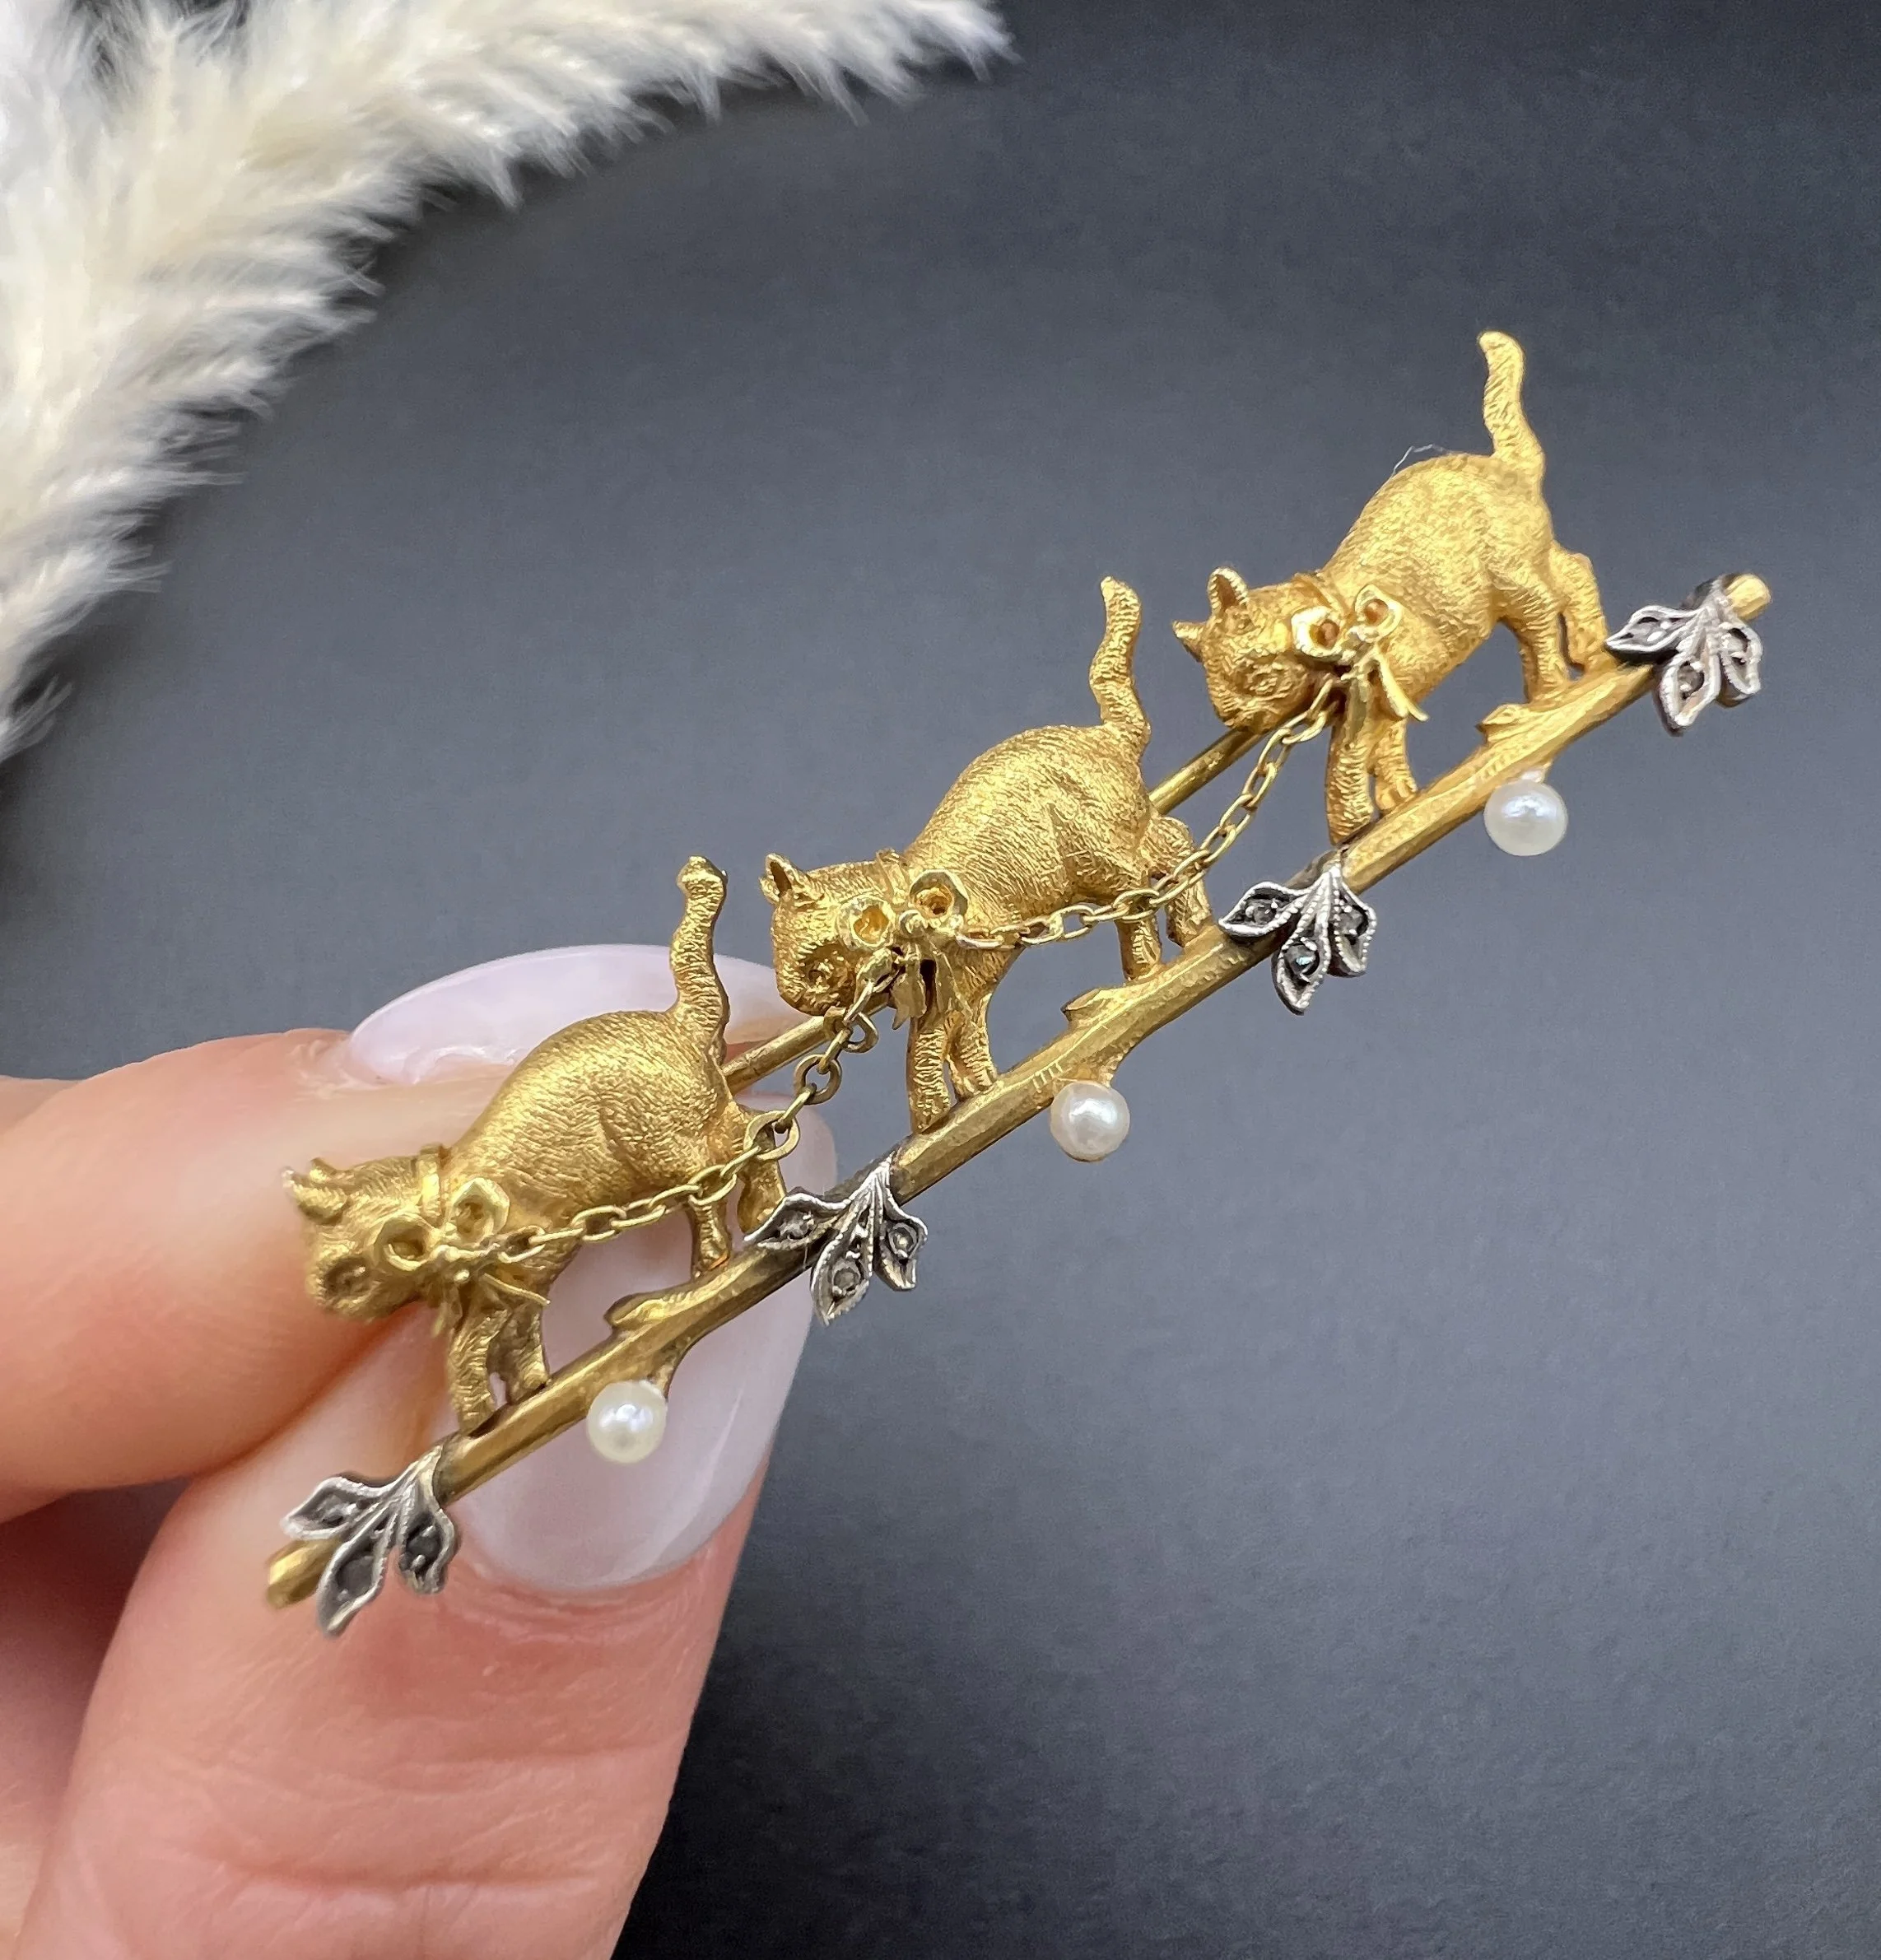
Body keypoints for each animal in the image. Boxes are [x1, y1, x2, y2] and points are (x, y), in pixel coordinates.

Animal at [288, 857, 786, 1430]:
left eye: (344, 1279)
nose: (323, 1302)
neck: (442, 1202)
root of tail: (676, 1022)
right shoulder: (529, 1281)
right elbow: (516, 1339)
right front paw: (527, 1391)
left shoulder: (510, 1274)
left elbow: (468, 1346)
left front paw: (476, 1419)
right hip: (694, 1125)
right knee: (755, 1131)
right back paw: (764, 1212)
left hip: (659, 1146)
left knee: (715, 1176)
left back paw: (715, 1257)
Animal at [762, 578, 1210, 1134]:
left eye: (812, 967)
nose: (797, 998)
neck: (906, 898)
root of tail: (1104, 736)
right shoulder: (968, 990)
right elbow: (960, 1041)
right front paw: (973, 1094)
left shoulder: (964, 978)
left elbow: (925, 1047)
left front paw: (932, 1115)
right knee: (1173, 842)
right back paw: (1190, 927)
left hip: (1091, 849)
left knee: (1143, 880)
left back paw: (1150, 964)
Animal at [1174, 332, 1611, 842]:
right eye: (1216, 696)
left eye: (1255, 679)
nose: (1235, 717)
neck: (1337, 619)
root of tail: (1504, 466)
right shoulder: (1394, 697)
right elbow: (1385, 750)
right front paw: (1398, 800)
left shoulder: (1382, 688)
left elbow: (1347, 755)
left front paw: (1352, 827)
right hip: (1531, 560)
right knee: (1575, 570)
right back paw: (1591, 650)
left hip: (1511, 579)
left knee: (1541, 618)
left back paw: (1551, 692)